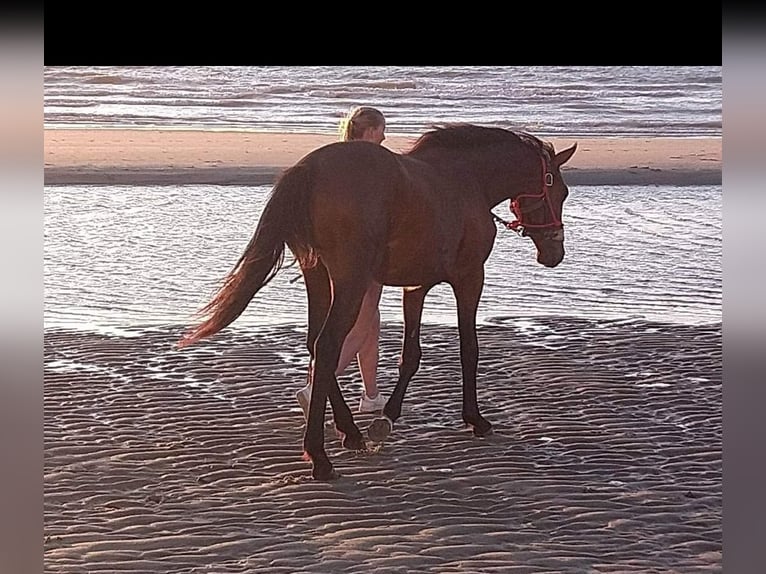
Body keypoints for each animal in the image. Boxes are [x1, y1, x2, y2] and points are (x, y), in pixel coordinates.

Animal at [180, 125, 576, 482]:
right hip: (350, 283)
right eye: (562, 190)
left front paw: (388, 415)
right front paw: (474, 418)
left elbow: (410, 355)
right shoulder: (469, 279)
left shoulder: (416, 286)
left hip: (317, 275)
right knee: (327, 344)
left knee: (314, 343)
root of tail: (310, 168)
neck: (465, 181)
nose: (554, 253)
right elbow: (469, 349)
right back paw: (319, 456)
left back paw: (349, 430)